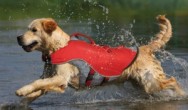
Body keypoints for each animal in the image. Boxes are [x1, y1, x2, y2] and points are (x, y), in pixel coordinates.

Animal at [15, 15, 185, 103]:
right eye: (28, 29)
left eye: (34, 30)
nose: (18, 38)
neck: (58, 47)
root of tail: (144, 48)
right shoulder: (55, 80)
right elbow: (40, 88)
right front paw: (24, 99)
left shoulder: (61, 77)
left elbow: (38, 83)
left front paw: (22, 90)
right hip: (141, 84)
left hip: (151, 81)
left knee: (172, 81)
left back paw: (182, 93)